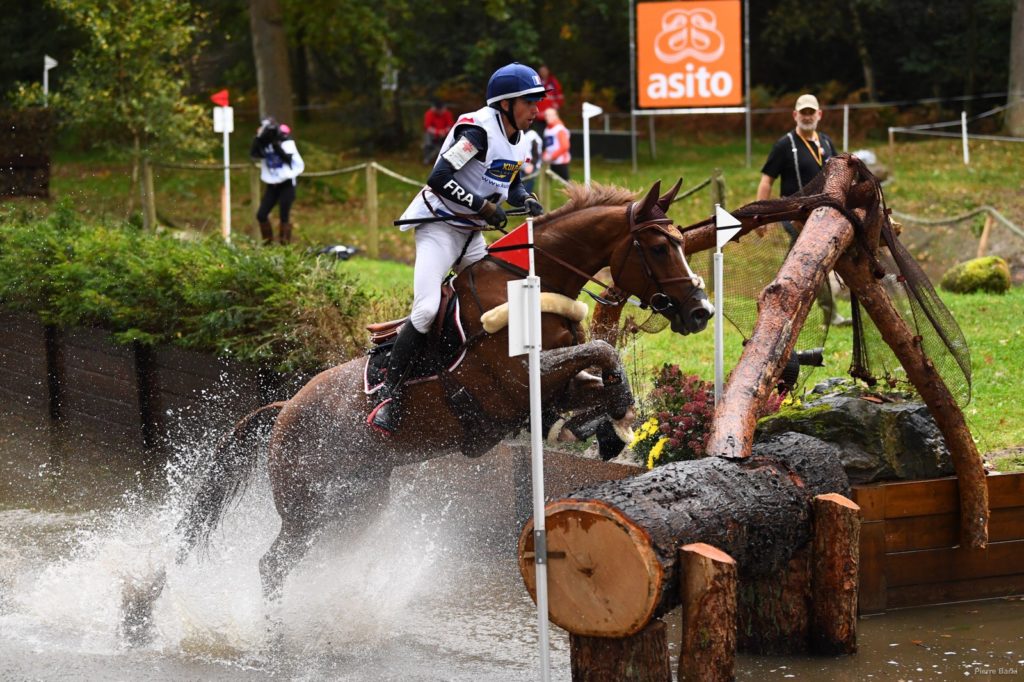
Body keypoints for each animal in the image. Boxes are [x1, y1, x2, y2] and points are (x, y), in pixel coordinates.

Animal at [119, 180, 712, 638]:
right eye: (660, 248)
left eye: (682, 243)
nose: (700, 311)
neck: (529, 287)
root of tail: (286, 408)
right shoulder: (518, 380)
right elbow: (603, 350)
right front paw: (616, 417)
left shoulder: (550, 386)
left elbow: (598, 367)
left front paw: (610, 424)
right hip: (306, 507)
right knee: (271, 566)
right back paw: (275, 637)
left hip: (357, 504)